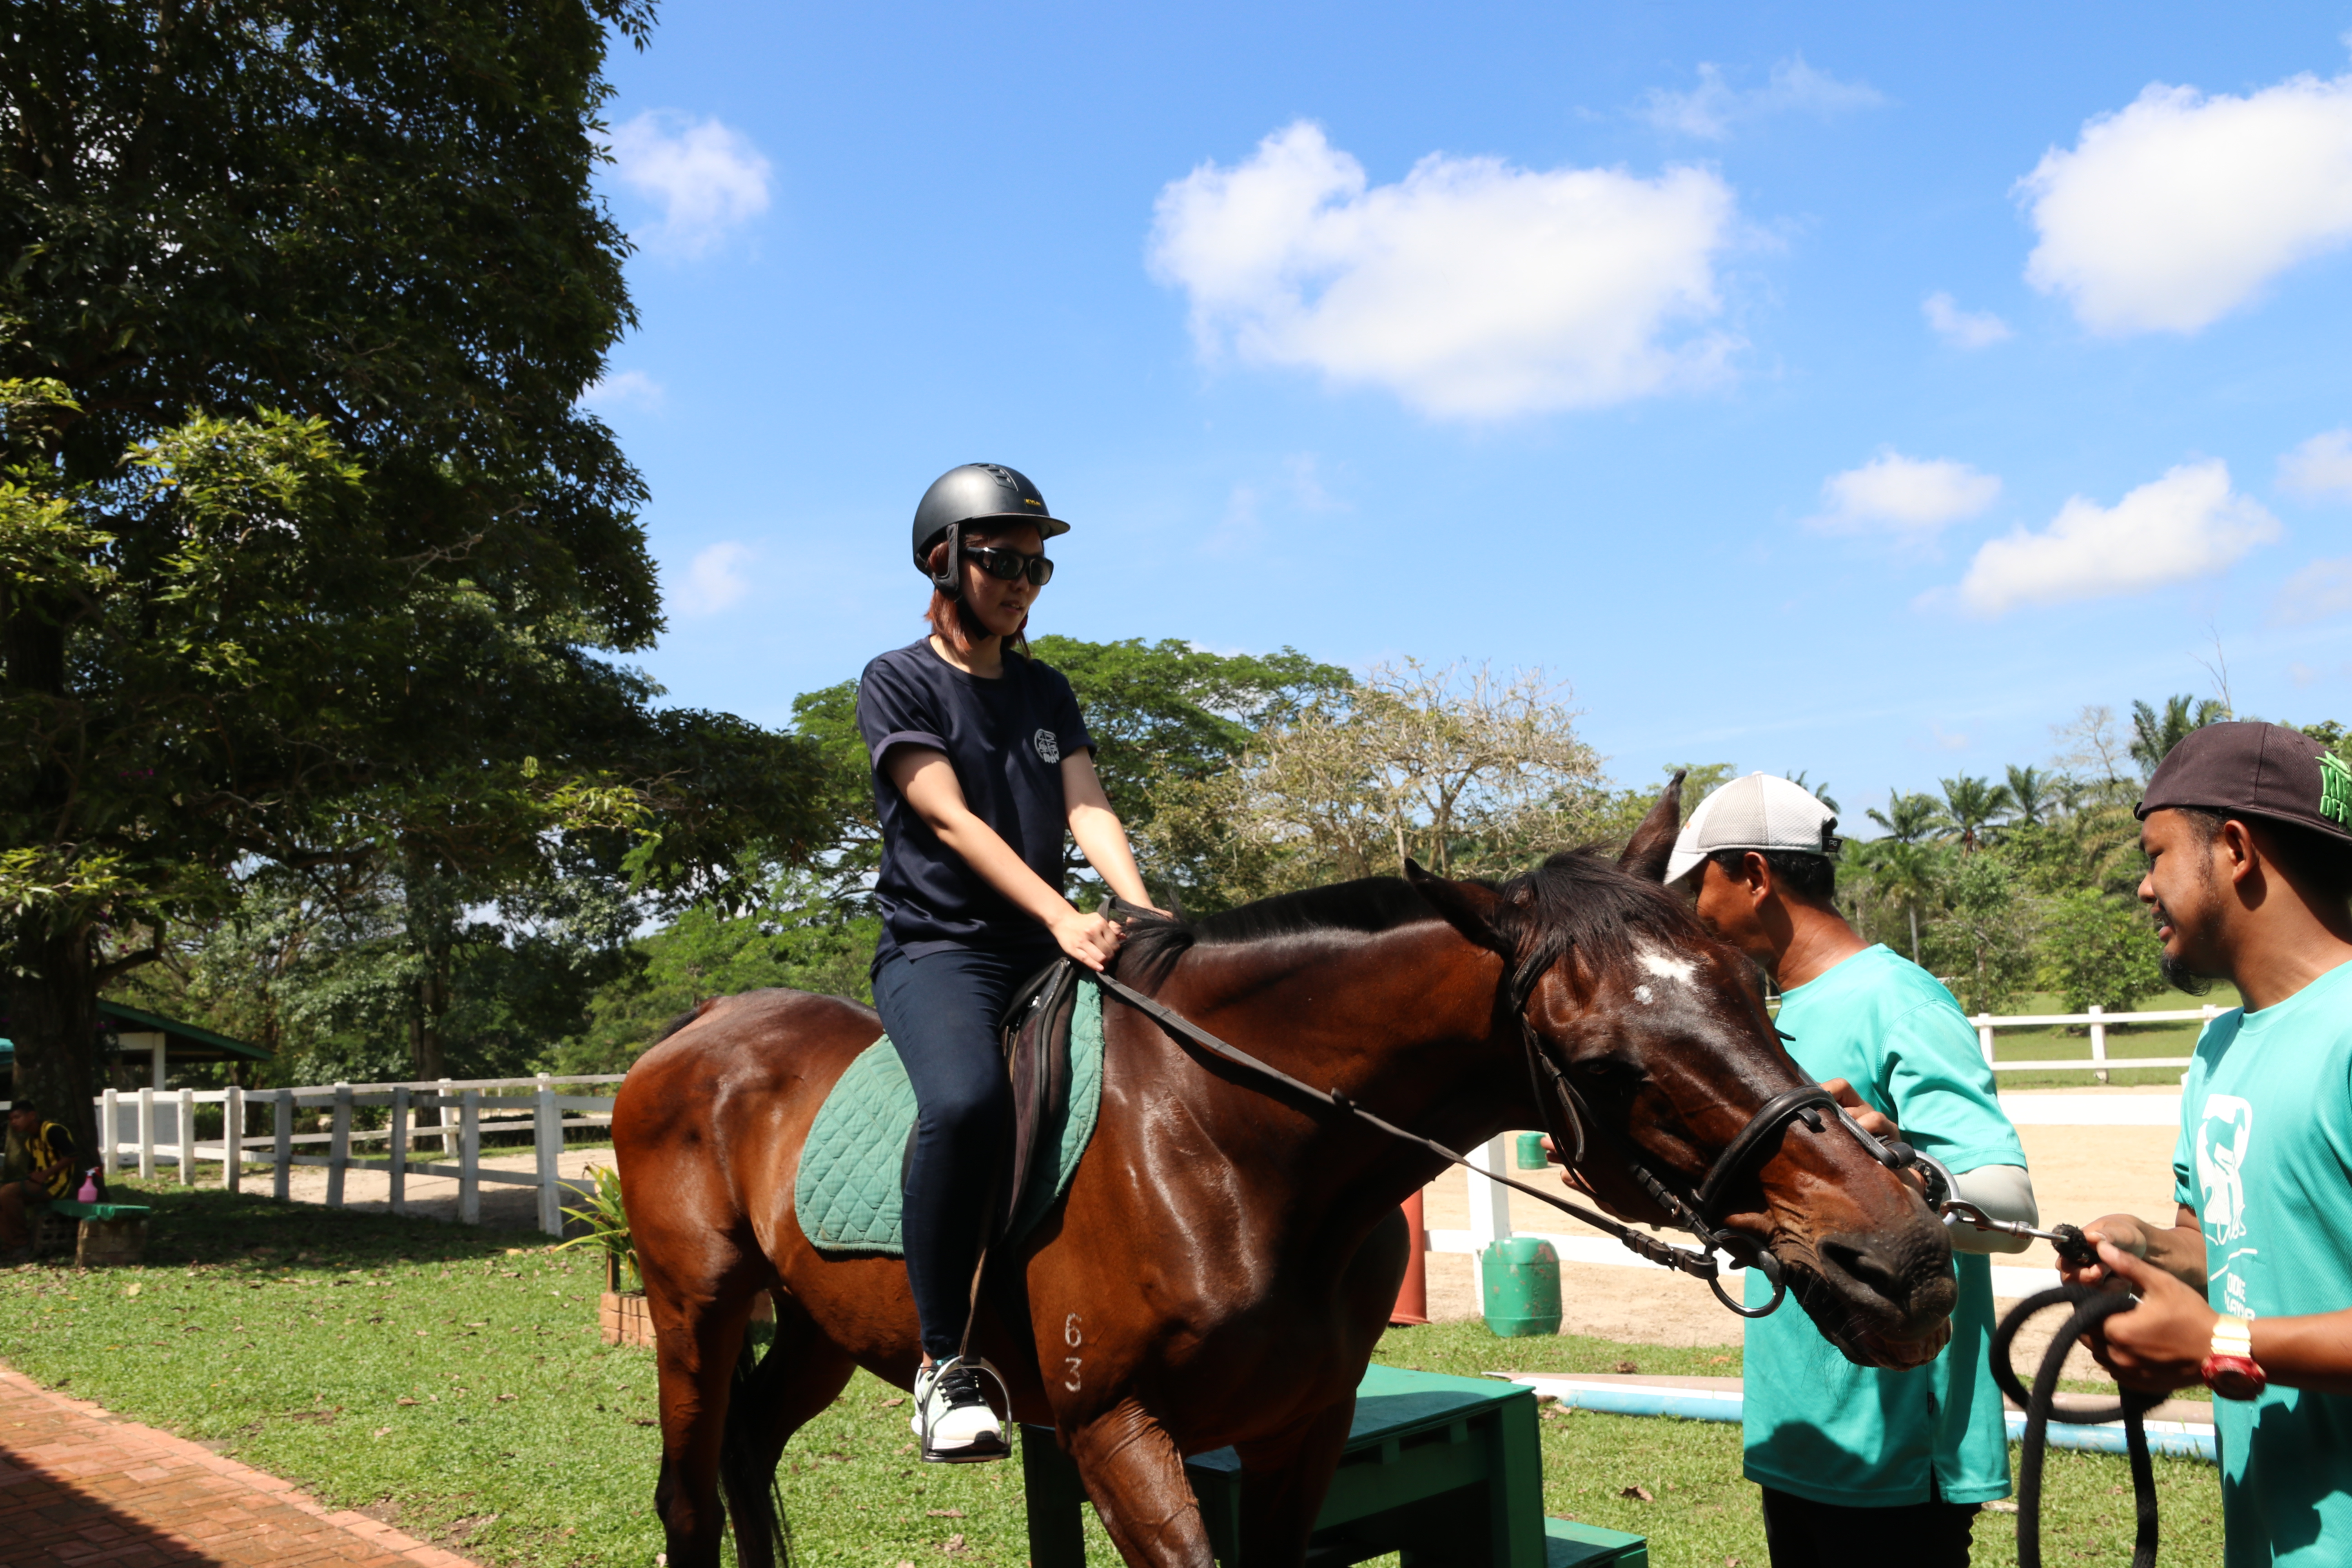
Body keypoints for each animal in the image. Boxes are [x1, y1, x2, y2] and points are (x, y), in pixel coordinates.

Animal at [611, 787, 1959, 1568]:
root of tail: (700, 1026)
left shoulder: (1300, 1433)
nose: (1899, 1258)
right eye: (1605, 1065)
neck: (1228, 1145)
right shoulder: (1117, 1432)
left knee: (747, 1454)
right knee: (687, 1494)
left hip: (820, 1326)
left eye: (1751, 989)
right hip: (693, 1307)